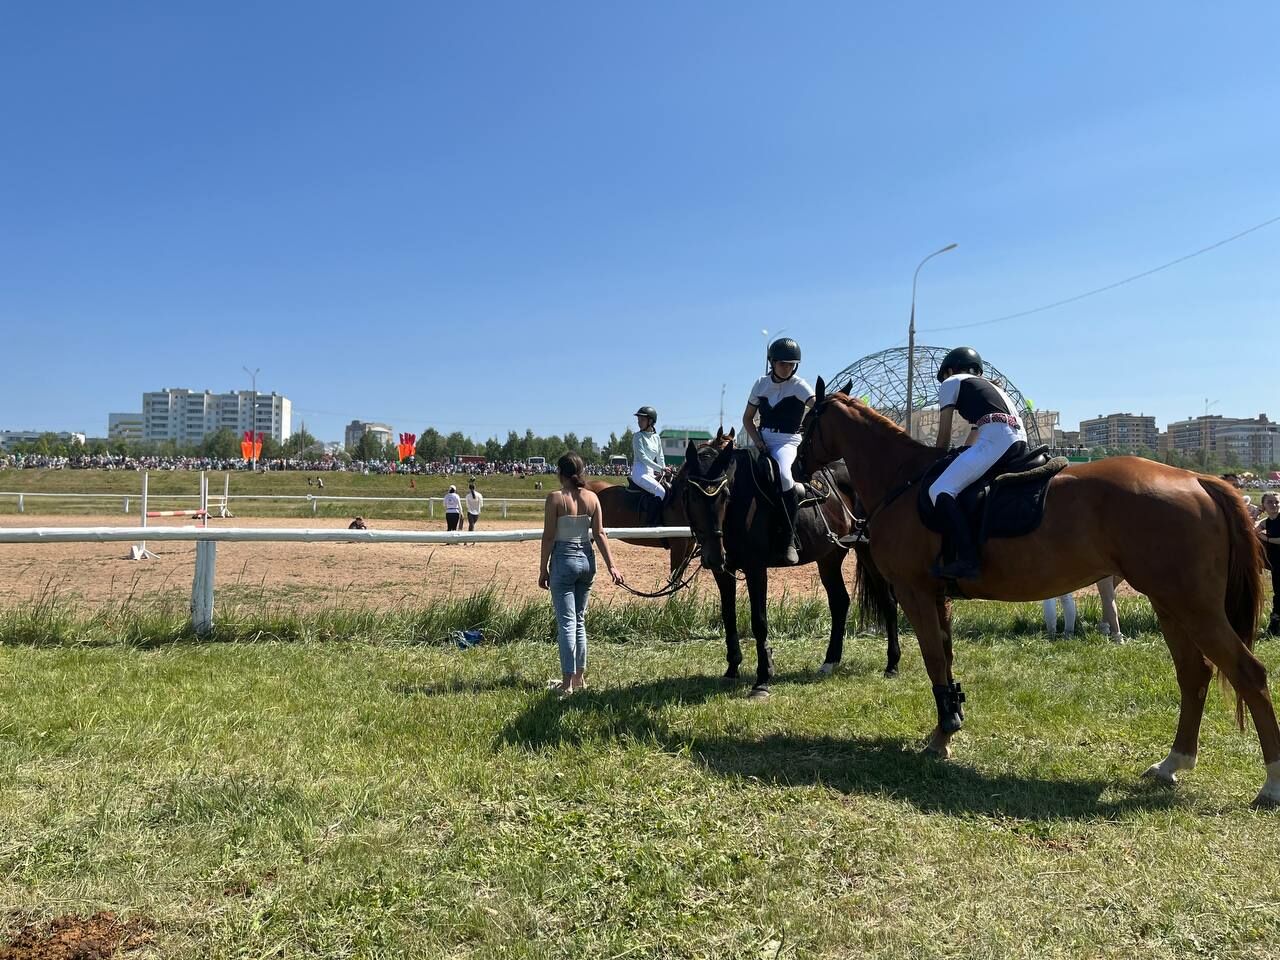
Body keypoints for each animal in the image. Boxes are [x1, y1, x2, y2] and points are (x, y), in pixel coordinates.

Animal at [680, 430, 901, 701]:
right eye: (690, 494)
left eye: (725, 495)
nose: (712, 557)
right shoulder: (724, 572)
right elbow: (728, 616)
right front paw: (731, 669)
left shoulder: (755, 569)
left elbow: (759, 621)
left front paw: (762, 680)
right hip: (829, 558)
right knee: (840, 602)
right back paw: (830, 662)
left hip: (867, 553)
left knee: (888, 602)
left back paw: (892, 665)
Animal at [793, 378, 1274, 808]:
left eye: (806, 422)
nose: (796, 472)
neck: (903, 481)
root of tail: (1197, 478)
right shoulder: (936, 597)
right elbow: (946, 659)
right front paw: (949, 725)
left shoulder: (916, 594)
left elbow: (934, 662)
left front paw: (942, 735)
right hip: (1170, 605)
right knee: (1194, 676)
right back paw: (1173, 763)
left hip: (1194, 607)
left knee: (1248, 673)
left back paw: (1270, 785)